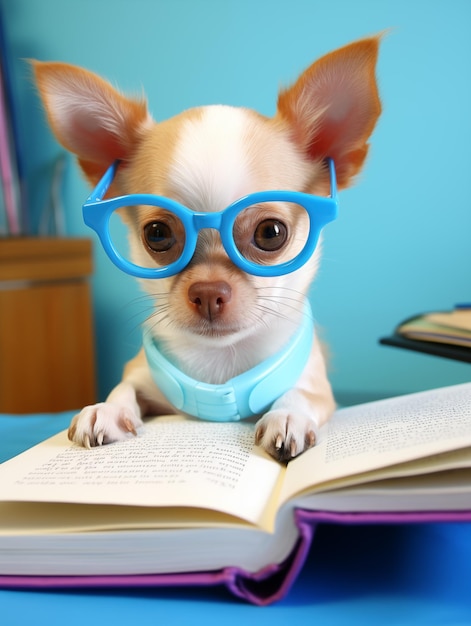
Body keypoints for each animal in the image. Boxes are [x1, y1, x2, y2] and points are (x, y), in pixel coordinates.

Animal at [33, 36, 382, 460]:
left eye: (271, 233)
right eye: (157, 234)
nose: (208, 292)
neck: (220, 363)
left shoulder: (320, 389)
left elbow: (300, 394)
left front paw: (288, 416)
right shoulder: (141, 374)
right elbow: (124, 387)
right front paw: (107, 409)